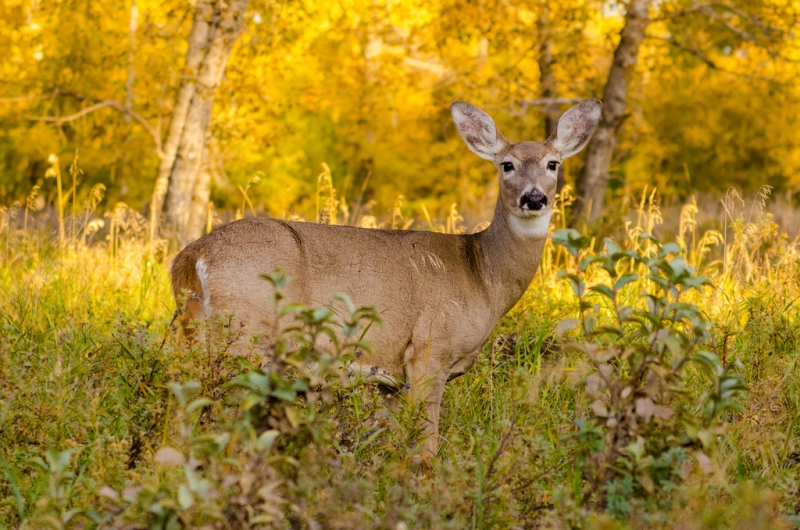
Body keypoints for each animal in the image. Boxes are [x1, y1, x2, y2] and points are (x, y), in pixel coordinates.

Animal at [172, 98, 604, 454]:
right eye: (507, 164)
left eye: (553, 164)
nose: (534, 198)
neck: (482, 274)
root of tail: (190, 259)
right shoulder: (429, 349)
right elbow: (426, 449)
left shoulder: (390, 379)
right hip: (246, 338)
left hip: (196, 336)